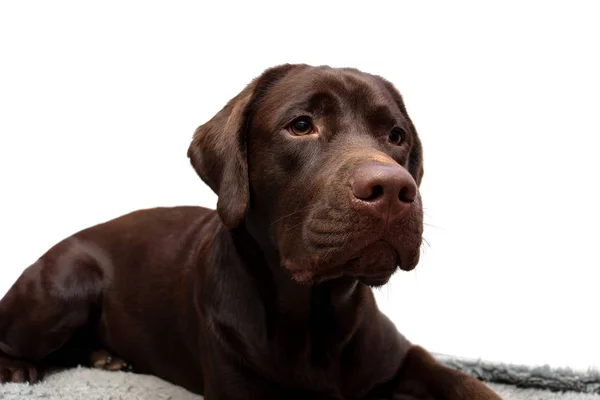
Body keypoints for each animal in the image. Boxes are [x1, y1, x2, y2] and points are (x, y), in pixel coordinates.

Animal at [0, 64, 502, 398]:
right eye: (301, 125)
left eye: (397, 136)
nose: (394, 188)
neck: (315, 318)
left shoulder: (404, 357)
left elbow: (465, 382)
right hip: (66, 289)